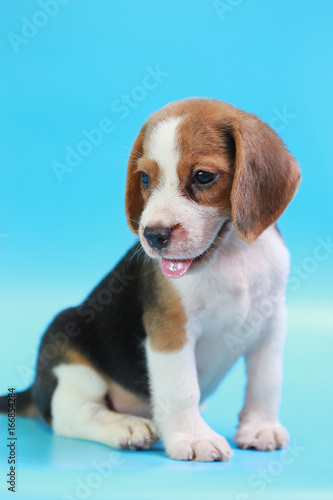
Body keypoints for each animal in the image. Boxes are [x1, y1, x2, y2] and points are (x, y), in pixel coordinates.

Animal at [0, 97, 300, 460]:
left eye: (203, 177)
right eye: (144, 178)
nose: (154, 235)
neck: (232, 257)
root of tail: (34, 390)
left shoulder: (271, 322)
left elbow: (266, 381)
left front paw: (261, 427)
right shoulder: (170, 330)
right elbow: (182, 388)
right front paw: (193, 438)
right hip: (69, 355)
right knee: (73, 416)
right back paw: (126, 427)